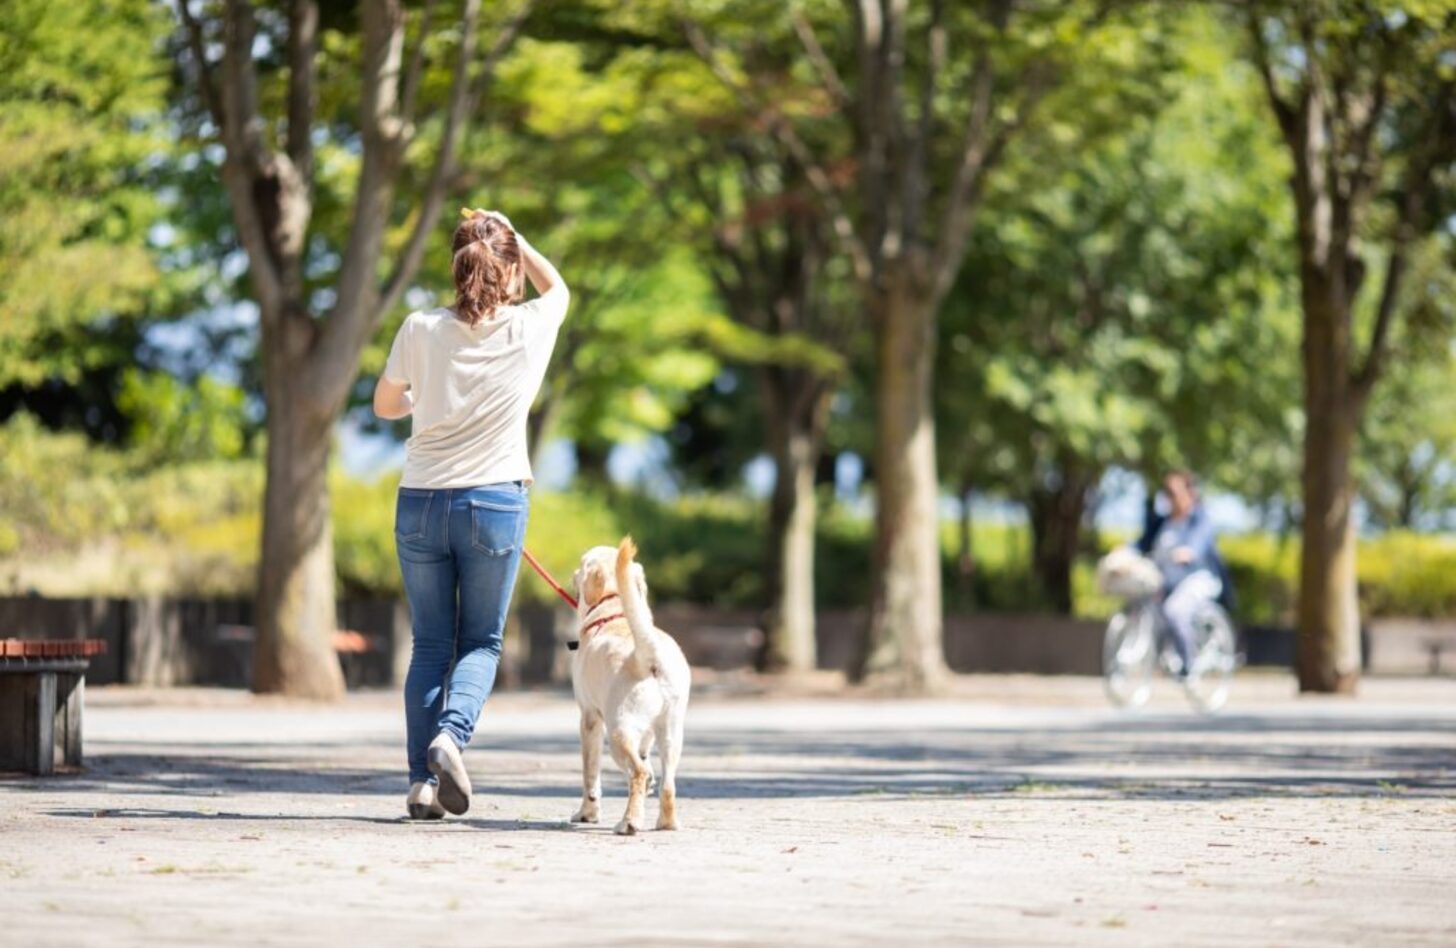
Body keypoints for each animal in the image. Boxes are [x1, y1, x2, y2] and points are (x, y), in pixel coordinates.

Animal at [567, 538, 687, 832]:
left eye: (582, 563)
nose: (573, 573)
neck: (615, 611)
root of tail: (648, 655)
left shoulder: (590, 718)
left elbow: (590, 776)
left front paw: (587, 814)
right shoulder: (646, 733)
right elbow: (645, 761)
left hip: (617, 731)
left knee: (638, 773)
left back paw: (628, 822)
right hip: (671, 734)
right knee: (668, 784)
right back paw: (666, 822)